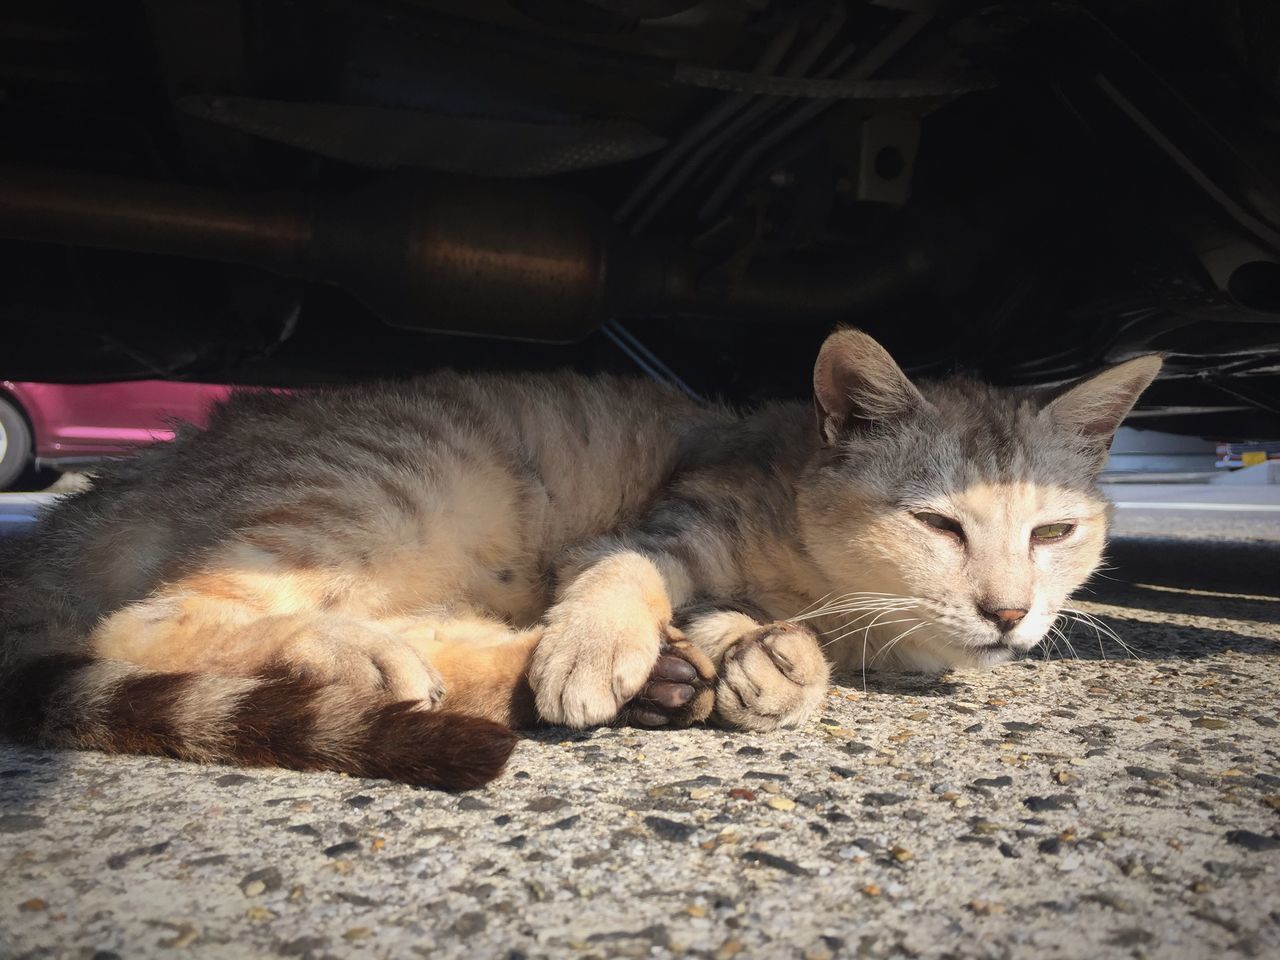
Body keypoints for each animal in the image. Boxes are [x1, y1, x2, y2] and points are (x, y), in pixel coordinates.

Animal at [0, 330, 1162, 788]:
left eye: (1053, 533)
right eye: (939, 524)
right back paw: (364, 652)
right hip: (384, 488)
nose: (1008, 612)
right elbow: (623, 572)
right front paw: (604, 643)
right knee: (142, 621)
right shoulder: (671, 518)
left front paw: (768, 664)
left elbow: (763, 636)